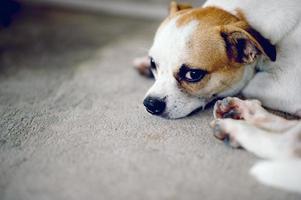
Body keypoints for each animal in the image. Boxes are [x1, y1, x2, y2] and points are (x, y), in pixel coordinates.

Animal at [135, 0, 300, 194]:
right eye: (153, 63)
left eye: (193, 74)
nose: (150, 104)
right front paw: (142, 64)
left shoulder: (285, 85)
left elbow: (249, 83)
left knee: (285, 144)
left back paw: (234, 128)